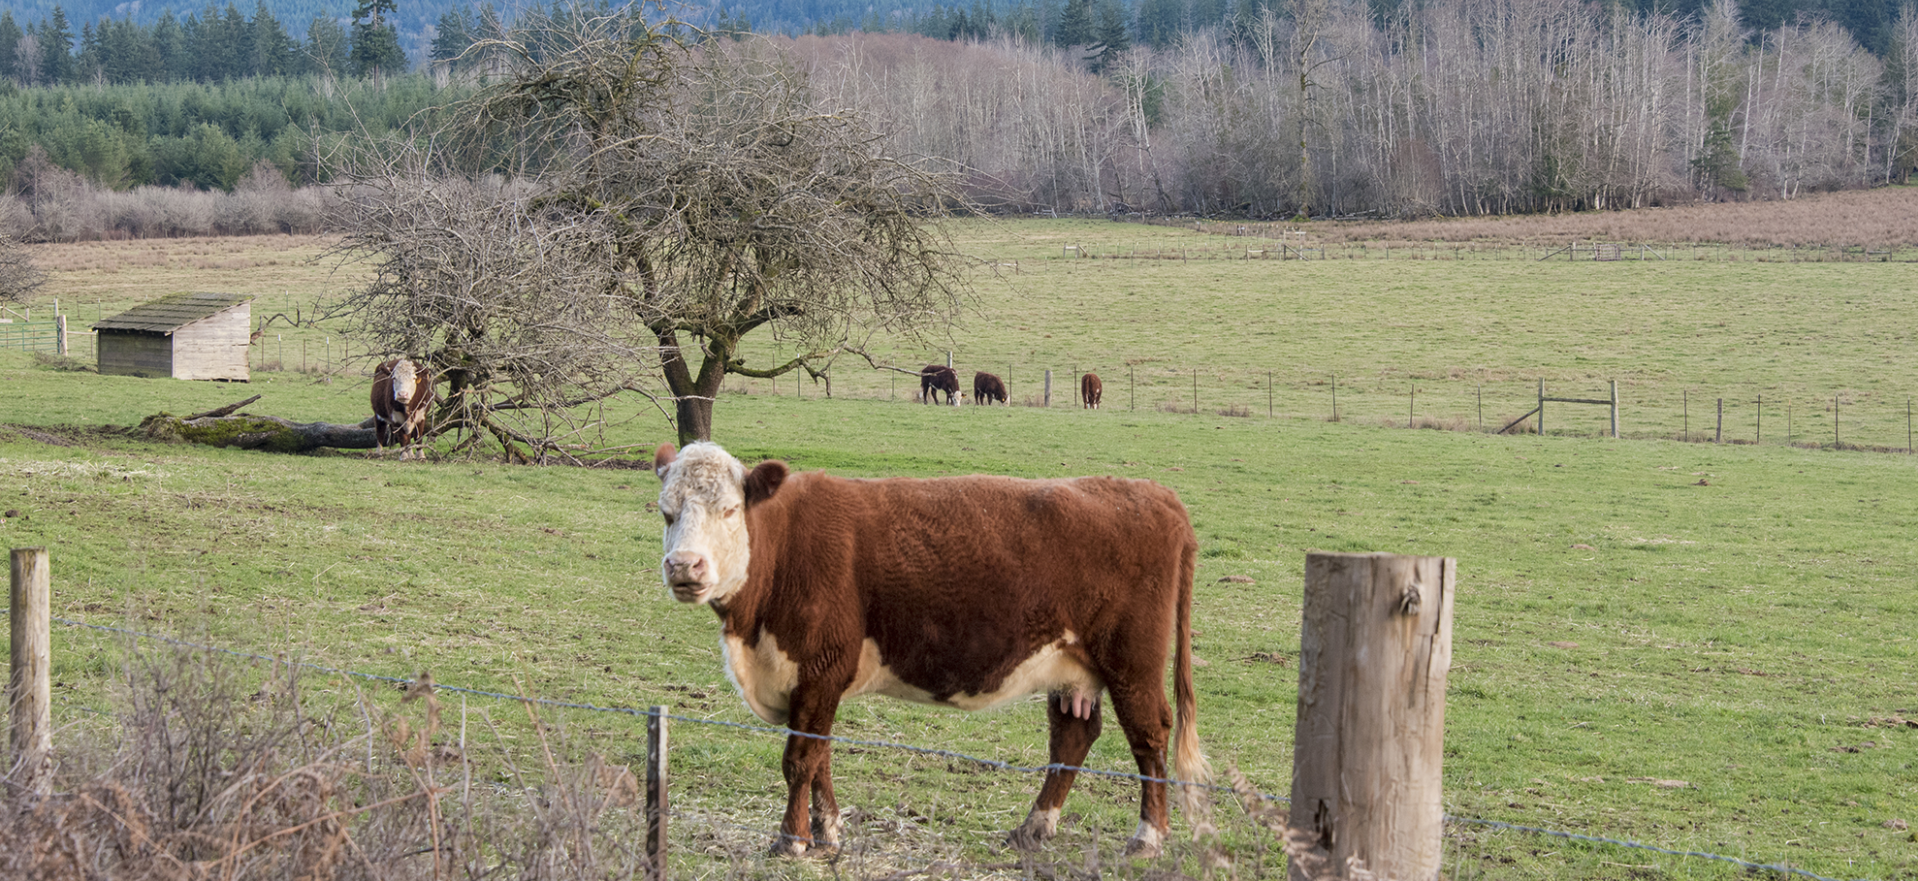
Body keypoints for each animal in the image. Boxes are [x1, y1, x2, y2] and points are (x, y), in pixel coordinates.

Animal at [652, 445, 1204, 859]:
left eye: (729, 510)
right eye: (666, 512)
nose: (684, 566)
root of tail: (1154, 493)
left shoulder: (820, 667)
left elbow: (800, 759)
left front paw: (792, 840)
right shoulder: (812, 682)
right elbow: (821, 755)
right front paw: (827, 831)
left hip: (1132, 661)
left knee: (1150, 734)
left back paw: (1147, 837)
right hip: (1072, 666)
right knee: (1073, 737)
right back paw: (1032, 829)